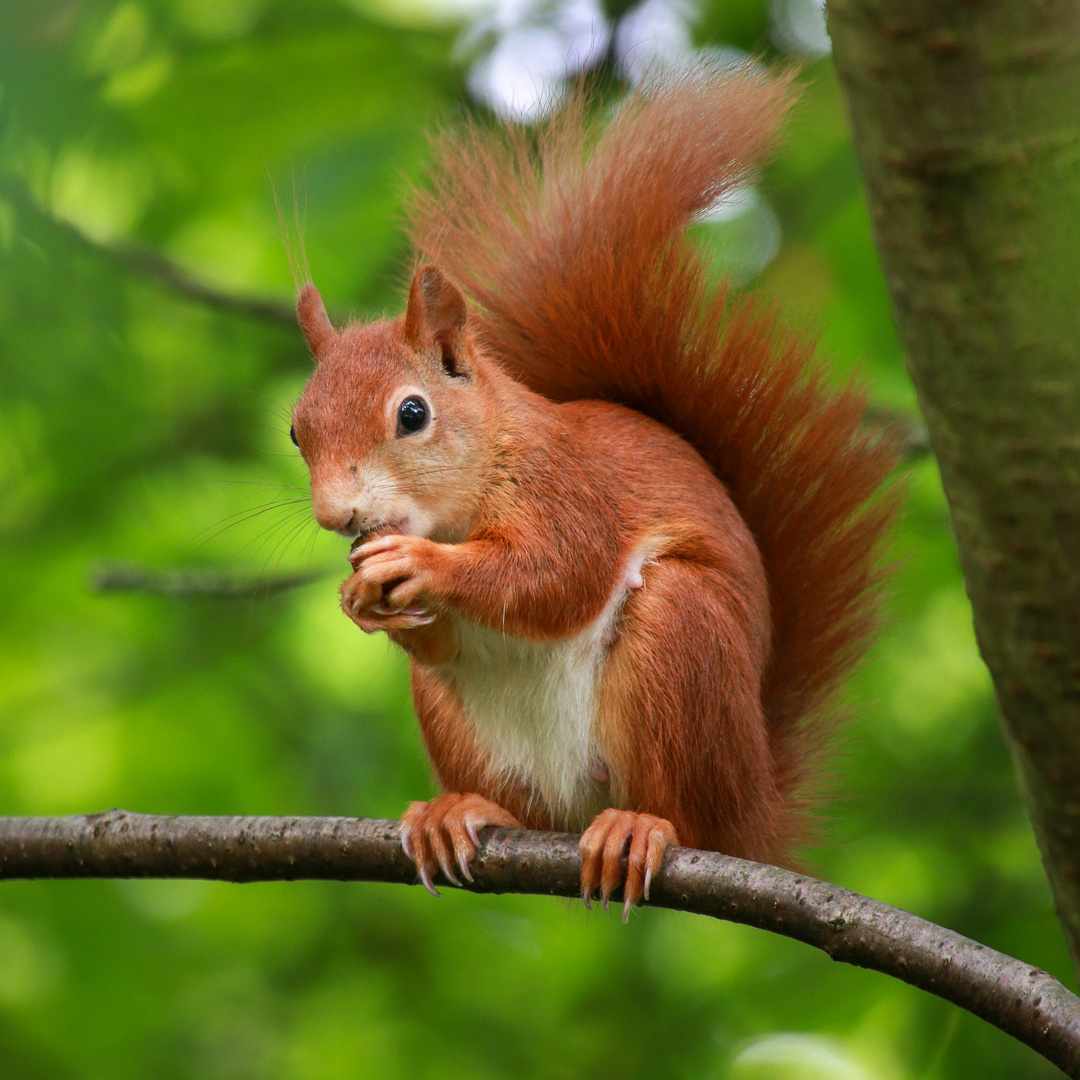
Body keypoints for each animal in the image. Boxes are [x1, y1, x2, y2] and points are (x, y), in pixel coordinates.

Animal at [285, 65, 894, 920]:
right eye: (296, 431)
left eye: (411, 414)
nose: (336, 516)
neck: (469, 495)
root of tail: (757, 815)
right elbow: (444, 636)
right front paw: (358, 599)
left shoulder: (573, 491)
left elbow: (556, 577)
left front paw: (422, 568)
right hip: (464, 727)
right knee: (517, 797)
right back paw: (461, 812)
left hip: (681, 644)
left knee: (688, 810)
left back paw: (644, 826)